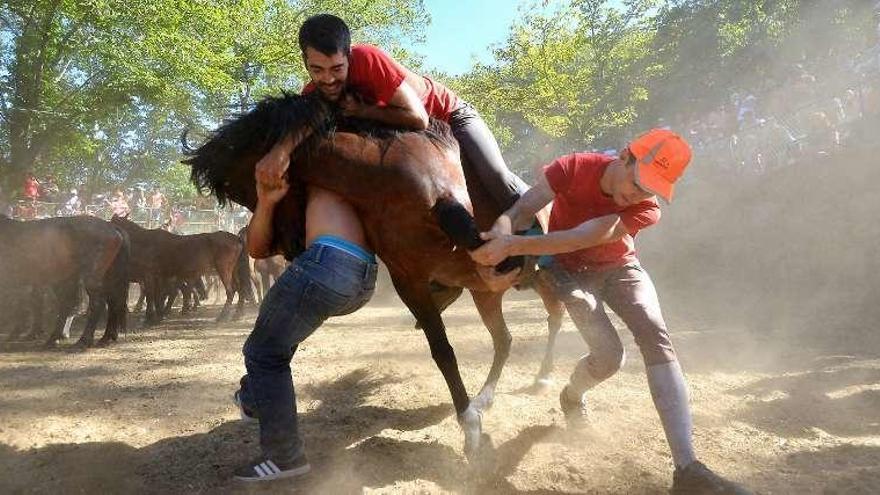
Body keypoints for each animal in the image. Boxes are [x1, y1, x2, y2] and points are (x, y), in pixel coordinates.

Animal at [0, 214, 129, 348]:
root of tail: (112, 227)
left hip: (90, 278)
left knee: (96, 304)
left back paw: (83, 341)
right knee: (112, 302)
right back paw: (104, 338)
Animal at [109, 216, 251, 324]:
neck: (146, 242)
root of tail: (236, 238)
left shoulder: (149, 275)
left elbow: (151, 295)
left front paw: (150, 317)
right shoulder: (160, 277)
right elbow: (158, 295)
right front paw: (159, 315)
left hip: (223, 270)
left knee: (230, 291)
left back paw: (222, 316)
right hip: (233, 271)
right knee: (240, 289)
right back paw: (237, 314)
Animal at [188, 94, 568, 464]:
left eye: (252, 187)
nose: (281, 246)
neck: (385, 176)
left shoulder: (451, 205)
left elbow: (470, 238)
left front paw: (471, 429)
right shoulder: (407, 277)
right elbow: (442, 350)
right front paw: (470, 420)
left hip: (541, 281)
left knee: (553, 316)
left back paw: (543, 375)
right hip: (485, 296)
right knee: (504, 339)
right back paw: (485, 396)